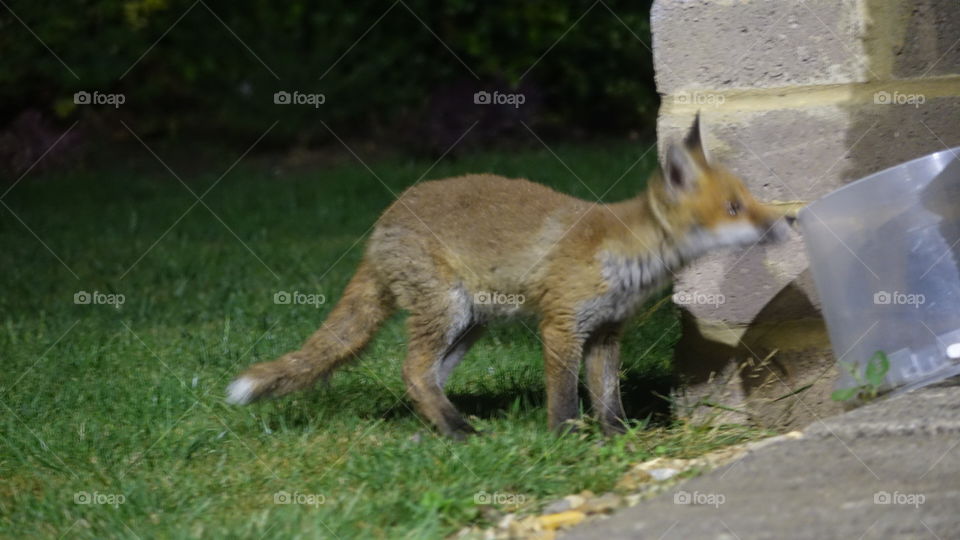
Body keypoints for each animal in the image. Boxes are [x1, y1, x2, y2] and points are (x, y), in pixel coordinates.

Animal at [226, 114, 789, 439]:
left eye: (748, 199)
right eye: (735, 208)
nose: (784, 224)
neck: (629, 253)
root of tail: (382, 222)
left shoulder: (606, 332)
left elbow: (608, 398)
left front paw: (618, 438)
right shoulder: (561, 325)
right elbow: (563, 398)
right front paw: (566, 441)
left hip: (468, 326)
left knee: (421, 378)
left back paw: (439, 431)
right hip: (448, 310)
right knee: (412, 371)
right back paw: (459, 432)